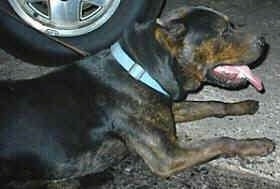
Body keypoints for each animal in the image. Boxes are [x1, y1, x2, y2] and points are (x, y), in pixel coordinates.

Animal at [0, 6, 276, 189]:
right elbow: (221, 140)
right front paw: (257, 144)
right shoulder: (168, 156)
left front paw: (242, 105)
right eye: (223, 32)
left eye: (232, 25)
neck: (140, 70)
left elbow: (212, 104)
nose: (264, 41)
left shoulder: (166, 107)